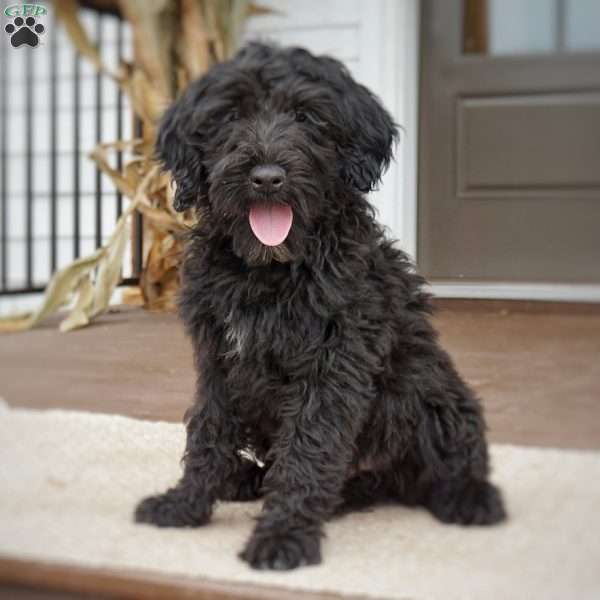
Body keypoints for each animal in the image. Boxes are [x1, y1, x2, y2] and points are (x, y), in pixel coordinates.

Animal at [136, 43, 506, 572]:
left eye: (306, 116)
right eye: (230, 116)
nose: (267, 178)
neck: (270, 270)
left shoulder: (332, 364)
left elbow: (308, 451)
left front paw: (282, 537)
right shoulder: (218, 361)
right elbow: (207, 433)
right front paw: (184, 505)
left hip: (438, 397)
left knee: (450, 462)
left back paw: (471, 498)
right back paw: (243, 480)